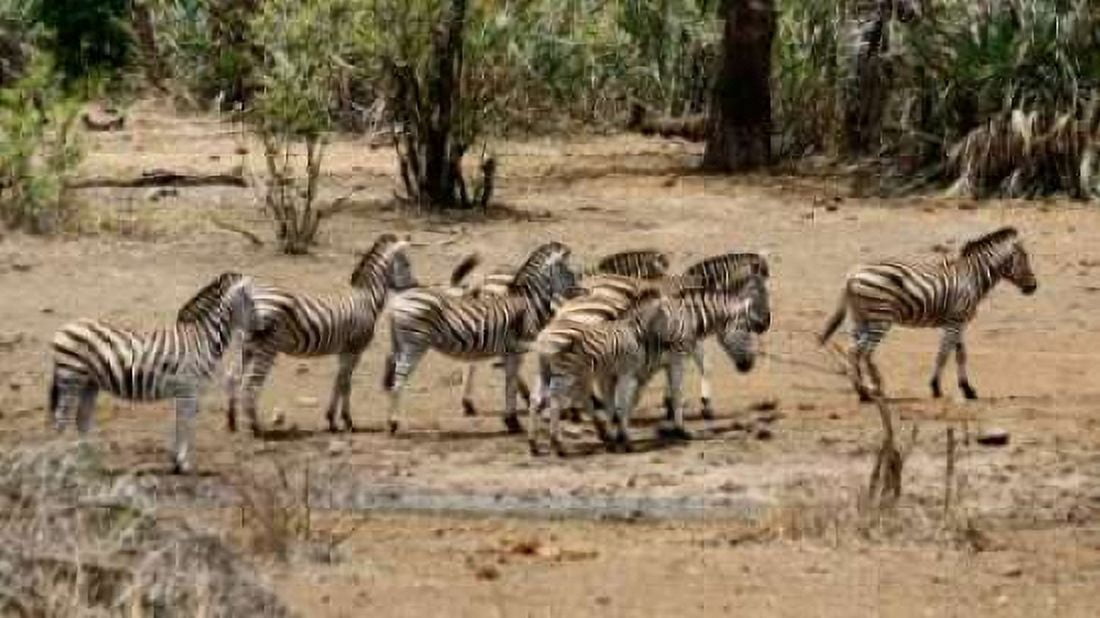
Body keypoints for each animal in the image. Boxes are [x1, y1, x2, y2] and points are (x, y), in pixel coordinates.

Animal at [49, 272, 255, 473]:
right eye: (253, 303)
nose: (258, 332)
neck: (202, 340)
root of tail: (64, 328)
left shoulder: (187, 391)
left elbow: (180, 422)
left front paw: (176, 461)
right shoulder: (188, 389)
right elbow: (185, 423)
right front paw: (182, 464)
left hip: (90, 382)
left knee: (81, 419)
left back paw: (88, 461)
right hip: (71, 376)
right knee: (61, 419)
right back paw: (61, 462)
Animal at [225, 233, 416, 435]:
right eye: (407, 264)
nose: (415, 286)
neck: (367, 299)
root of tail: (249, 298)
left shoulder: (344, 350)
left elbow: (339, 381)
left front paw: (332, 420)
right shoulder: (355, 349)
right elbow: (345, 383)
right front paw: (346, 420)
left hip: (245, 346)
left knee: (232, 377)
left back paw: (232, 422)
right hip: (266, 348)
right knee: (250, 385)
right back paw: (255, 427)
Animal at [383, 241, 577, 435]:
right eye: (570, 273)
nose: (577, 295)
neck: (526, 302)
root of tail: (397, 302)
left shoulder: (510, 350)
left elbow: (510, 381)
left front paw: (511, 419)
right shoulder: (515, 349)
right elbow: (511, 383)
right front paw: (514, 421)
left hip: (401, 345)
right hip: (414, 344)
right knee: (398, 382)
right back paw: (393, 423)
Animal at [819, 226, 1037, 402]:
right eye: (1024, 258)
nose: (1033, 287)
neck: (972, 277)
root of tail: (851, 276)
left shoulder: (958, 321)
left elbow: (960, 354)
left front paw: (967, 389)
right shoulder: (955, 321)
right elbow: (943, 354)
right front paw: (936, 387)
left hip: (861, 318)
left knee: (854, 351)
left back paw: (866, 389)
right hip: (881, 318)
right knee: (860, 351)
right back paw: (868, 390)